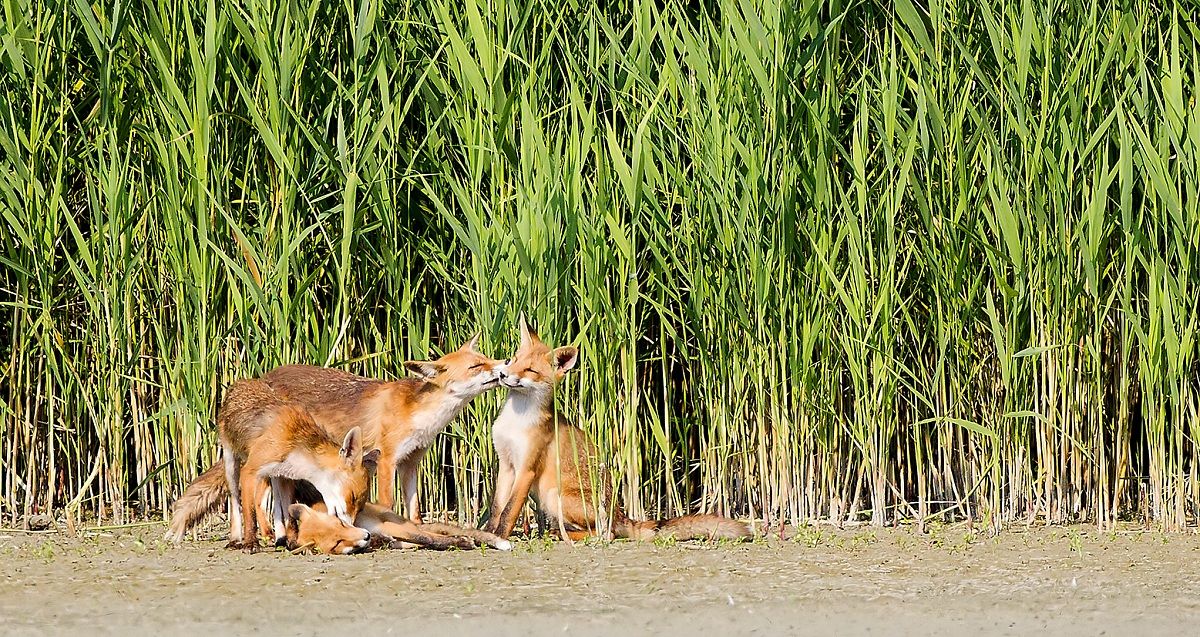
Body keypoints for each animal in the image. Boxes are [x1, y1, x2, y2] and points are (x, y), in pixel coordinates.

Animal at [165, 379, 380, 550]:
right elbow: (249, 514)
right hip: (232, 464)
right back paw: (236, 539)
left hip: (274, 476)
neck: (296, 444)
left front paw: (292, 541)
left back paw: (280, 537)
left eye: (360, 506)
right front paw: (250, 543)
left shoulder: (285, 476)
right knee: (236, 502)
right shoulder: (250, 471)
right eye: (352, 497)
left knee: (275, 506)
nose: (354, 527)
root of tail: (242, 382)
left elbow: (289, 515)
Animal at [484, 318, 752, 542]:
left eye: (530, 370)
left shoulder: (526, 469)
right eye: (512, 360)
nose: (503, 374)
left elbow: (509, 511)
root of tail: (621, 513)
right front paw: (486, 535)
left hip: (555, 495)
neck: (516, 421)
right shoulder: (506, 465)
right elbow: (496, 508)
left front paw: (499, 538)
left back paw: (563, 535)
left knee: (606, 533)